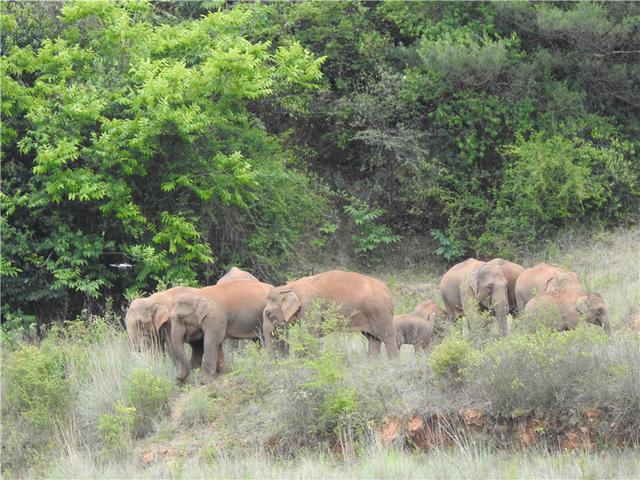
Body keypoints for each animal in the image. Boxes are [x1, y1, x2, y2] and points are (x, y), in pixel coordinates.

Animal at [260, 270, 396, 356]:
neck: (290, 287)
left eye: (268, 313)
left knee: (388, 339)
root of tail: (388, 290)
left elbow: (309, 334)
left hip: (380, 312)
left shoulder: (310, 305)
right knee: (373, 340)